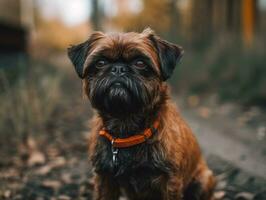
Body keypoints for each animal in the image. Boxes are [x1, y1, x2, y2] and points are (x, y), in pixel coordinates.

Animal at [67, 28, 215, 200]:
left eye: (140, 63)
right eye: (100, 63)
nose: (118, 68)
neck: (126, 126)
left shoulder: (170, 182)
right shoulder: (105, 178)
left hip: (203, 180)